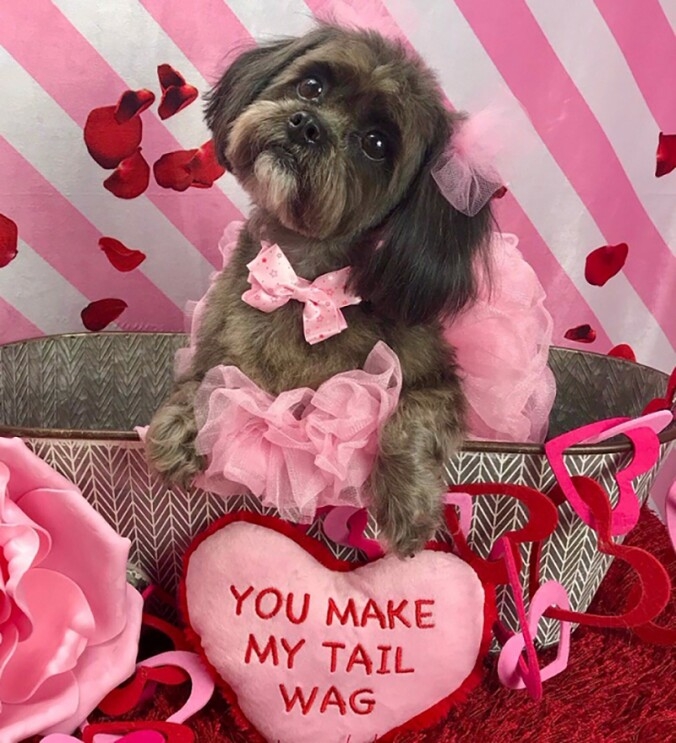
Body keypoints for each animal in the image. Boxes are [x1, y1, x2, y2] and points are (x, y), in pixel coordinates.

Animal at [147, 23, 492, 560]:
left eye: (376, 143)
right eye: (312, 86)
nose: (306, 125)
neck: (303, 282)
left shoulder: (439, 382)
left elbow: (409, 417)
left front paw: (409, 502)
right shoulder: (216, 347)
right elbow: (203, 381)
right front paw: (181, 426)